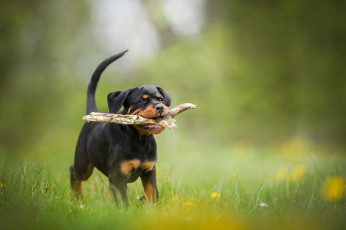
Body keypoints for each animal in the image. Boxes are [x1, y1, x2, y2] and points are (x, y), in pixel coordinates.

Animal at [70, 50, 172, 208]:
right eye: (142, 100)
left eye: (160, 99)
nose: (160, 107)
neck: (139, 139)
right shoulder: (118, 174)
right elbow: (124, 201)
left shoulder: (149, 170)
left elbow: (151, 193)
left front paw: (147, 206)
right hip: (84, 163)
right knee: (74, 172)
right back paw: (77, 198)